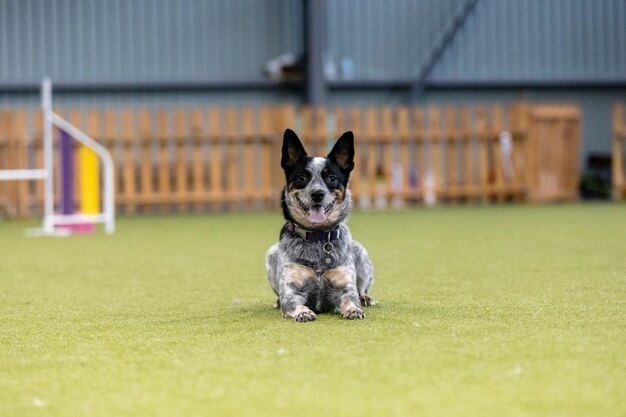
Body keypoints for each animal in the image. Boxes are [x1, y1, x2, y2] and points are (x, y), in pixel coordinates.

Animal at [262, 129, 370, 322]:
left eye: (332, 178)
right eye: (302, 177)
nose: (317, 194)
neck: (318, 238)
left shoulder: (345, 288)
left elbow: (351, 298)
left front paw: (353, 309)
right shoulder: (291, 291)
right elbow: (291, 301)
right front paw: (303, 312)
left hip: (360, 252)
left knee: (363, 287)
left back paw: (365, 297)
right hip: (271, 253)